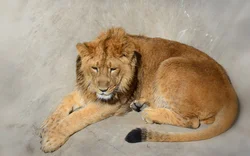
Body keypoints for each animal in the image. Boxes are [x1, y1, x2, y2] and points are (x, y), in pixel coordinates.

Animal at [39, 27, 238, 152]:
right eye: (95, 68)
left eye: (113, 69)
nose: (103, 90)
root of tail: (230, 91)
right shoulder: (87, 90)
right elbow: (65, 101)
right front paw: (47, 124)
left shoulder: (110, 103)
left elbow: (76, 118)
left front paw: (51, 138)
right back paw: (140, 105)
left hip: (169, 64)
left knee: (194, 121)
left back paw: (150, 114)